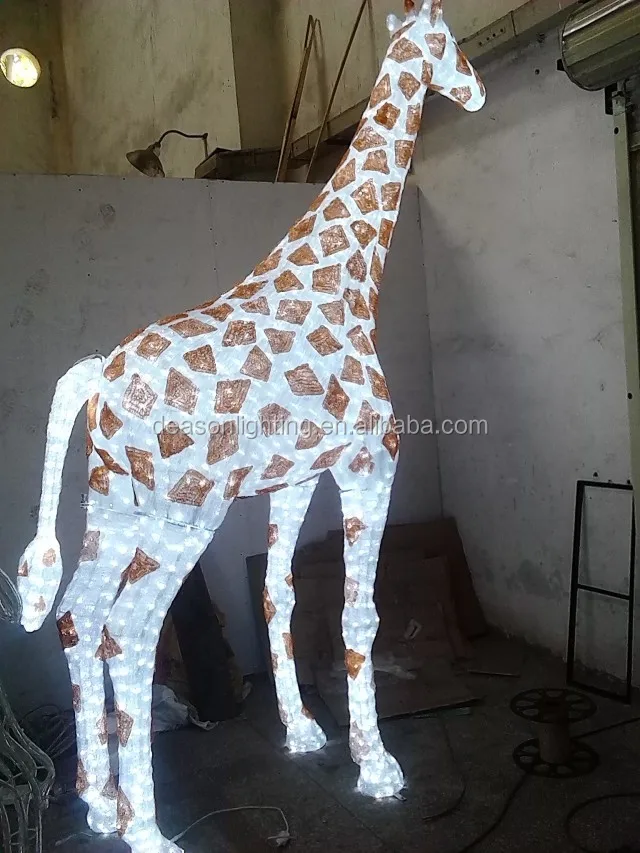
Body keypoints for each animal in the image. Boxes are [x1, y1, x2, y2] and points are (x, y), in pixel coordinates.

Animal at [15, 2, 485, 851]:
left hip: (112, 503)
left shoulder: (293, 478)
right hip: (183, 512)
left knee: (77, 611)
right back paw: (147, 829)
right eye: (451, 42)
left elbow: (278, 593)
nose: (476, 90)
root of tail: (95, 375)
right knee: (128, 628)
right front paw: (379, 767)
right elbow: (359, 612)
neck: (350, 278)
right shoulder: (372, 460)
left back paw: (100, 802)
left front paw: (303, 732)